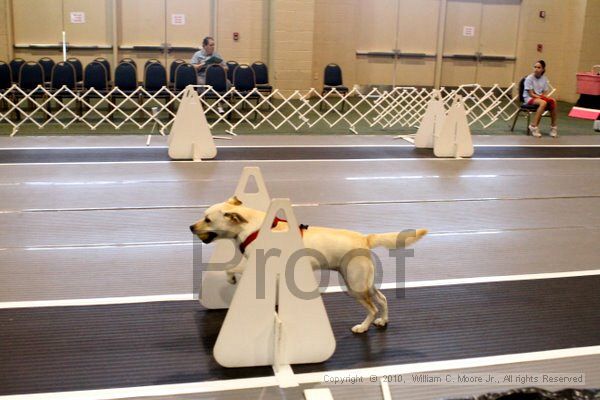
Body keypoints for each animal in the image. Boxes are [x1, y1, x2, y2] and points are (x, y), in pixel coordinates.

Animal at [192, 198, 426, 334]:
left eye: (207, 219)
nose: (190, 227)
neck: (250, 227)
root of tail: (365, 238)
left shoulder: (255, 263)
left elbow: (230, 268)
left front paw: (231, 278)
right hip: (364, 282)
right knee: (383, 299)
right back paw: (383, 321)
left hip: (355, 286)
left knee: (372, 307)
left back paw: (362, 327)